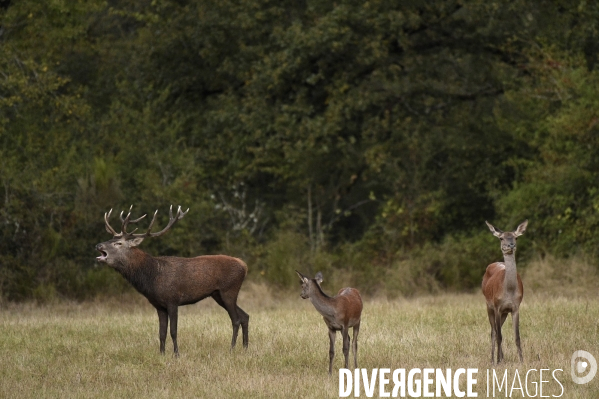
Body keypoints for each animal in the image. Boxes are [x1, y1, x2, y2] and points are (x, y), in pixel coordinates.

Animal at [95, 206, 248, 356]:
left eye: (118, 243)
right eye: (110, 239)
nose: (98, 245)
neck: (152, 278)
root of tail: (244, 265)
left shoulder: (173, 300)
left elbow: (173, 331)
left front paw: (176, 354)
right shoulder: (159, 305)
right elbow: (161, 333)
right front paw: (161, 354)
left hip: (229, 290)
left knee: (236, 319)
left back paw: (232, 349)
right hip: (217, 294)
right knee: (245, 316)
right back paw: (245, 348)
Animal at [482, 220, 528, 368]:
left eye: (516, 237)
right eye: (501, 238)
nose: (510, 245)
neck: (509, 291)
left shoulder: (515, 307)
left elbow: (517, 336)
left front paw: (522, 361)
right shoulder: (497, 307)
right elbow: (499, 336)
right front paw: (497, 361)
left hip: (504, 313)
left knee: (497, 331)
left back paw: (501, 357)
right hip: (488, 305)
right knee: (493, 332)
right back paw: (493, 360)